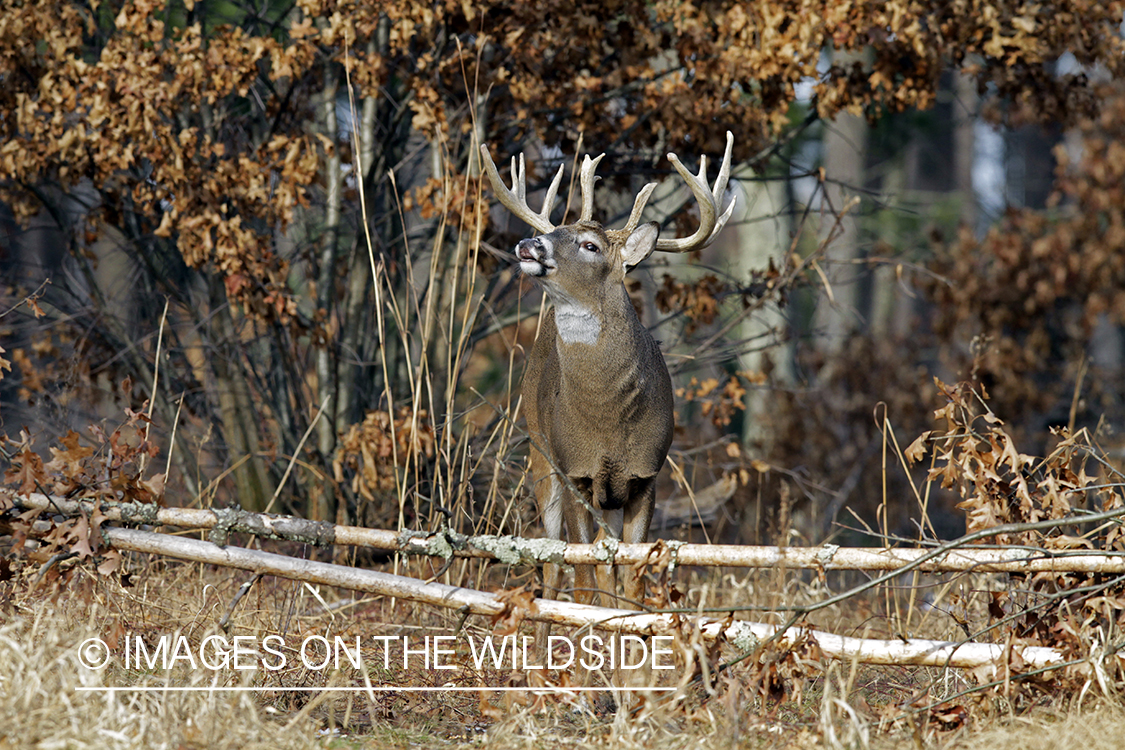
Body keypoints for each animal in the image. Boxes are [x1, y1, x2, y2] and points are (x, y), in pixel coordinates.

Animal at [477, 132, 733, 679]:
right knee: (553, 564)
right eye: (557, 229)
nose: (529, 244)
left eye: (590, 245)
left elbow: (632, 581)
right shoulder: (576, 472)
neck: (609, 424)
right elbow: (584, 578)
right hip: (540, 459)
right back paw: (540, 661)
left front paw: (634, 670)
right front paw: (590, 674)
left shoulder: (645, 477)